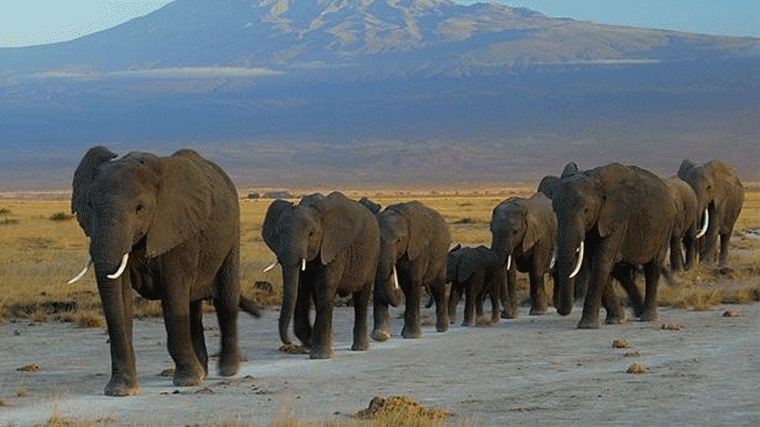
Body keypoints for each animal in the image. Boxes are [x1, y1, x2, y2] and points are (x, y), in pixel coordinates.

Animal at [71, 147, 262, 398]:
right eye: (90, 206)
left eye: (140, 208)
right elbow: (120, 299)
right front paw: (121, 390)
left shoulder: (179, 228)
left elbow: (173, 294)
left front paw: (187, 380)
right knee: (193, 308)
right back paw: (203, 371)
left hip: (232, 235)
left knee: (225, 300)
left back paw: (227, 371)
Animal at [262, 192, 380, 360]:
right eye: (277, 234)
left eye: (311, 234)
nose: (288, 344)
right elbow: (301, 288)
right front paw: (316, 344)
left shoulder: (334, 248)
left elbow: (325, 287)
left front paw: (319, 355)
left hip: (372, 255)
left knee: (361, 299)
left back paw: (359, 347)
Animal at [370, 202, 448, 342]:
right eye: (377, 239)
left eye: (399, 240)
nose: (396, 292)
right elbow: (379, 282)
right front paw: (380, 336)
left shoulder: (418, 248)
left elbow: (412, 282)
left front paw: (412, 336)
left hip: (442, 256)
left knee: (437, 287)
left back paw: (442, 329)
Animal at [490, 192, 556, 320]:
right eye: (491, 230)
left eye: (515, 231)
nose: (503, 314)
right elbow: (510, 273)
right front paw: (511, 316)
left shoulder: (541, 235)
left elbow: (536, 270)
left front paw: (538, 313)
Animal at [552, 162, 676, 330]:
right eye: (555, 211)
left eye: (586, 210)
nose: (558, 308)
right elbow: (595, 263)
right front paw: (616, 320)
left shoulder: (616, 218)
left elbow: (601, 261)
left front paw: (587, 325)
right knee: (621, 272)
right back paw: (636, 313)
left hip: (666, 227)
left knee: (653, 266)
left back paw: (648, 317)